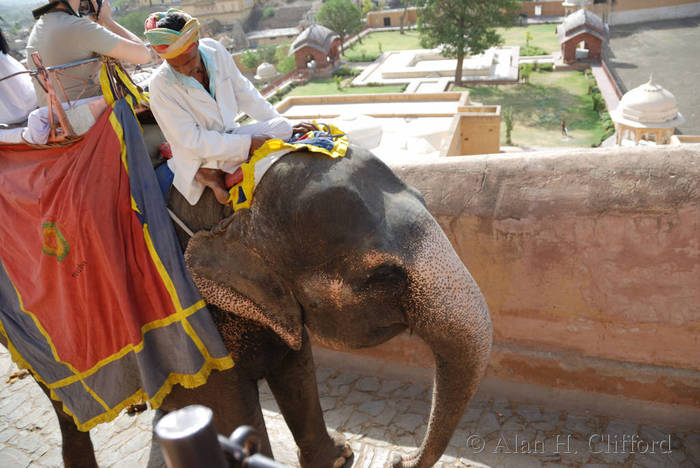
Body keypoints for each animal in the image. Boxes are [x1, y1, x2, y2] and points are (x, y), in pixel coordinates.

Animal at [0, 144, 492, 466]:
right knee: (64, 406)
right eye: (383, 275)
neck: (227, 208)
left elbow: (297, 369)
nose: (399, 461)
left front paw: (339, 458)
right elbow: (226, 406)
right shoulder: (190, 323)